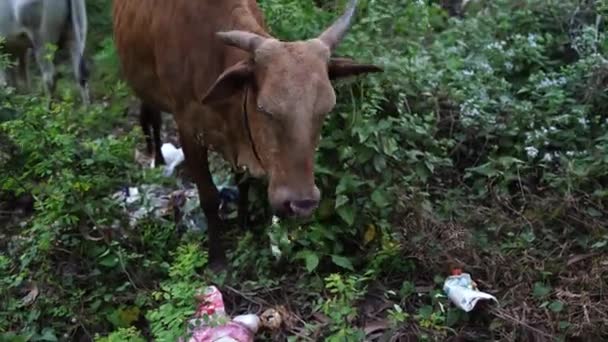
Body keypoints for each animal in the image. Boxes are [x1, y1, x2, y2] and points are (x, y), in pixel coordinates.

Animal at [111, 0, 382, 268]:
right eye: (264, 108)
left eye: (326, 109)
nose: (301, 204)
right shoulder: (188, 131)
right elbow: (209, 197)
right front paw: (217, 260)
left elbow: (243, 183)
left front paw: (244, 224)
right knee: (150, 117)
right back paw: (156, 159)